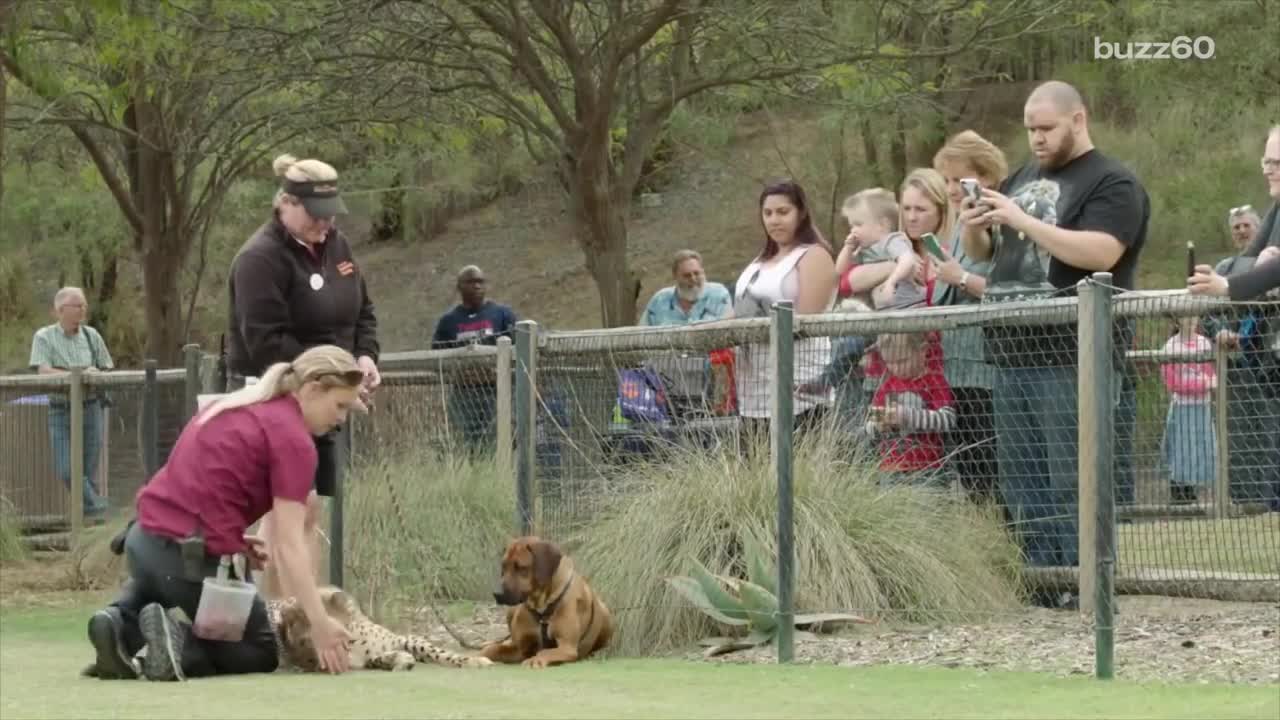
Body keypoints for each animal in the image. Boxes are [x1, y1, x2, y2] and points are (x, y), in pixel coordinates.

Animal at [267, 586, 491, 671]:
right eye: (297, 642)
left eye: (305, 639)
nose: (310, 664)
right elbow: (378, 659)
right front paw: (400, 660)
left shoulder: (407, 638)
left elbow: (436, 651)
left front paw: (473, 660)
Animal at [483, 532, 614, 666]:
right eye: (503, 566)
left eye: (521, 567)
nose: (496, 594)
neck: (542, 608)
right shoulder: (521, 648)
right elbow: (492, 649)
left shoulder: (567, 647)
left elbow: (544, 652)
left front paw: (534, 660)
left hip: (606, 614)